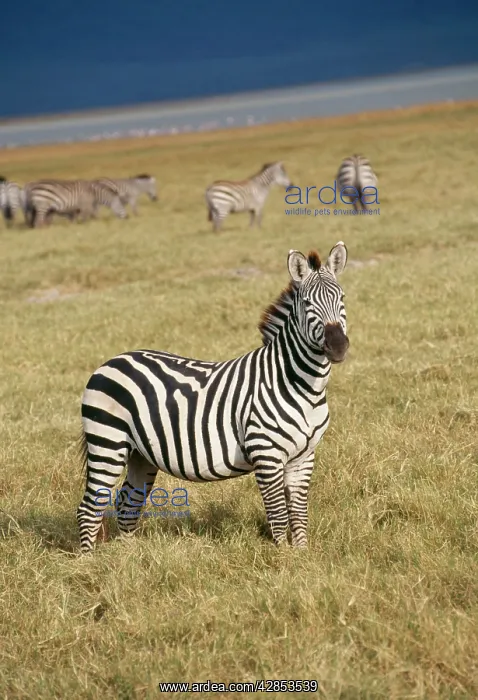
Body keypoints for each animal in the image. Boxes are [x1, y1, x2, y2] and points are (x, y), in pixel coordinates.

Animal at [77, 241, 349, 553]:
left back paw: (130, 557)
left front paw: (301, 555)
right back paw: (88, 561)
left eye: (342, 298)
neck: (301, 385)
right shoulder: (266, 453)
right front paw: (283, 558)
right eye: (307, 304)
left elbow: (299, 512)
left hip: (139, 454)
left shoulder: (304, 455)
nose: (338, 346)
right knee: (90, 507)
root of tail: (110, 362)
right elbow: (279, 514)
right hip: (107, 443)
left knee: (127, 503)